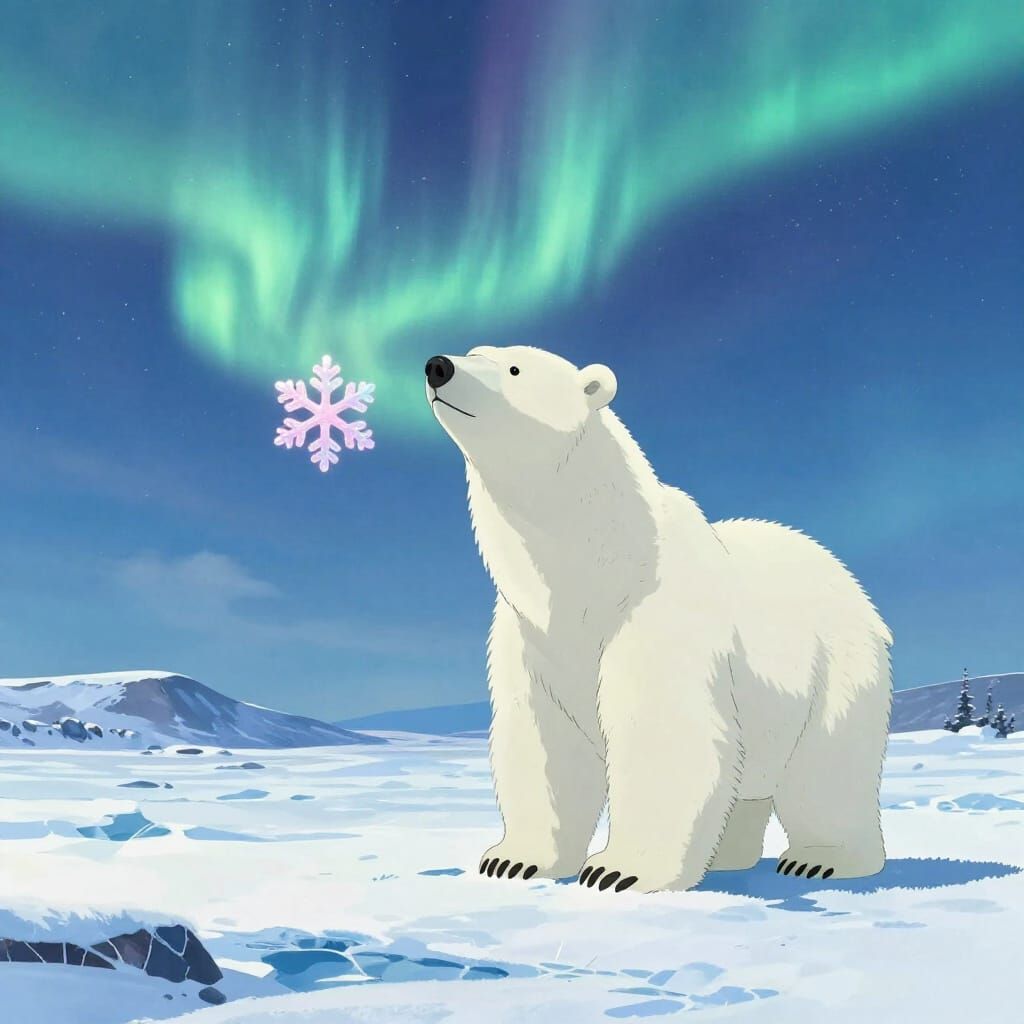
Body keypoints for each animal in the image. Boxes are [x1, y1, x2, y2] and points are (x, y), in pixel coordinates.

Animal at [425, 345, 893, 893]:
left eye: (515, 368)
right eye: (475, 352)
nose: (439, 366)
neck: (592, 570)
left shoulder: (656, 611)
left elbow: (663, 725)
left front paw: (617, 869)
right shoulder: (530, 634)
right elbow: (544, 739)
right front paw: (512, 859)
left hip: (835, 666)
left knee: (825, 769)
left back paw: (822, 857)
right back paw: (727, 855)